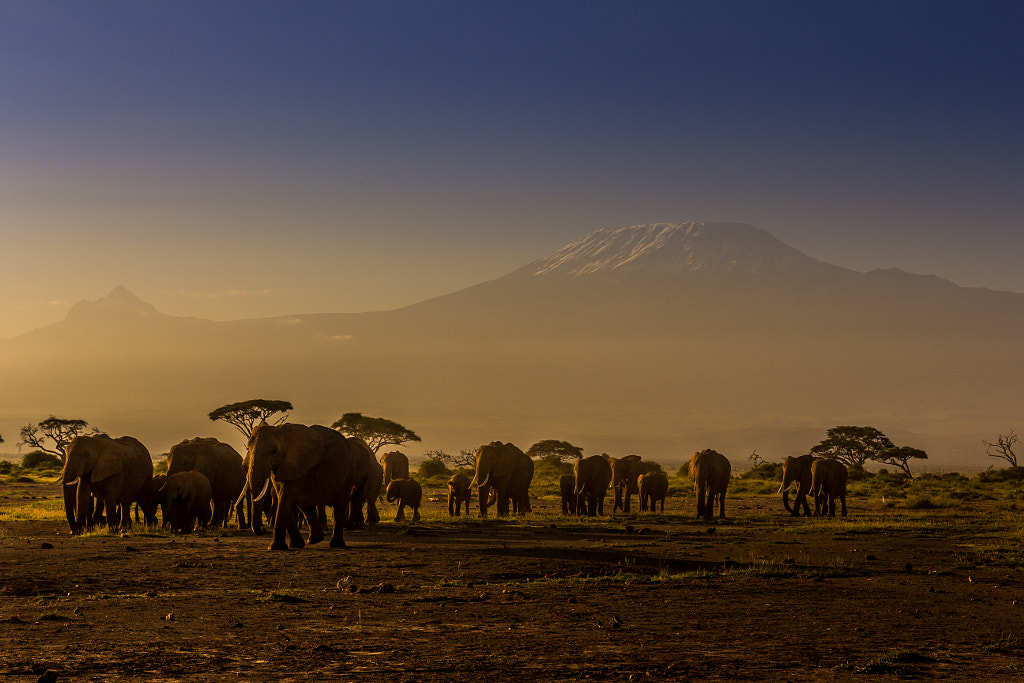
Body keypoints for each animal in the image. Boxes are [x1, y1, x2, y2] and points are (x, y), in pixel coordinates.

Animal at [241, 421, 370, 548]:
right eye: (248, 448)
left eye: (274, 451)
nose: (263, 529)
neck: (282, 432)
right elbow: (282, 495)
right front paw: (295, 545)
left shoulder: (297, 463)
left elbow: (285, 496)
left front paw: (275, 547)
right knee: (305, 503)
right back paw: (314, 540)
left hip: (348, 472)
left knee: (339, 504)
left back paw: (336, 544)